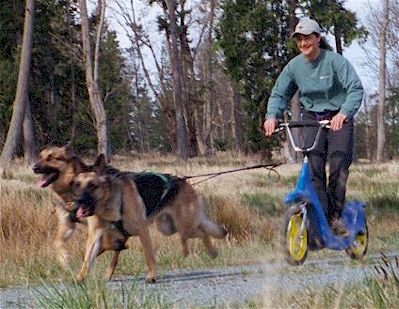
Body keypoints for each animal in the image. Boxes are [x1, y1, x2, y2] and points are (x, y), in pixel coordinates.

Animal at [72, 155, 228, 282]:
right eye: (77, 184)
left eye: (92, 185)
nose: (77, 200)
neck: (110, 202)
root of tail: (183, 181)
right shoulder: (95, 236)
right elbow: (87, 258)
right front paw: (79, 278)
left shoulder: (142, 231)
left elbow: (149, 256)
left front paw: (152, 276)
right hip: (168, 228)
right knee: (186, 235)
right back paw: (185, 251)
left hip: (185, 225)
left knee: (202, 232)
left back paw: (212, 251)